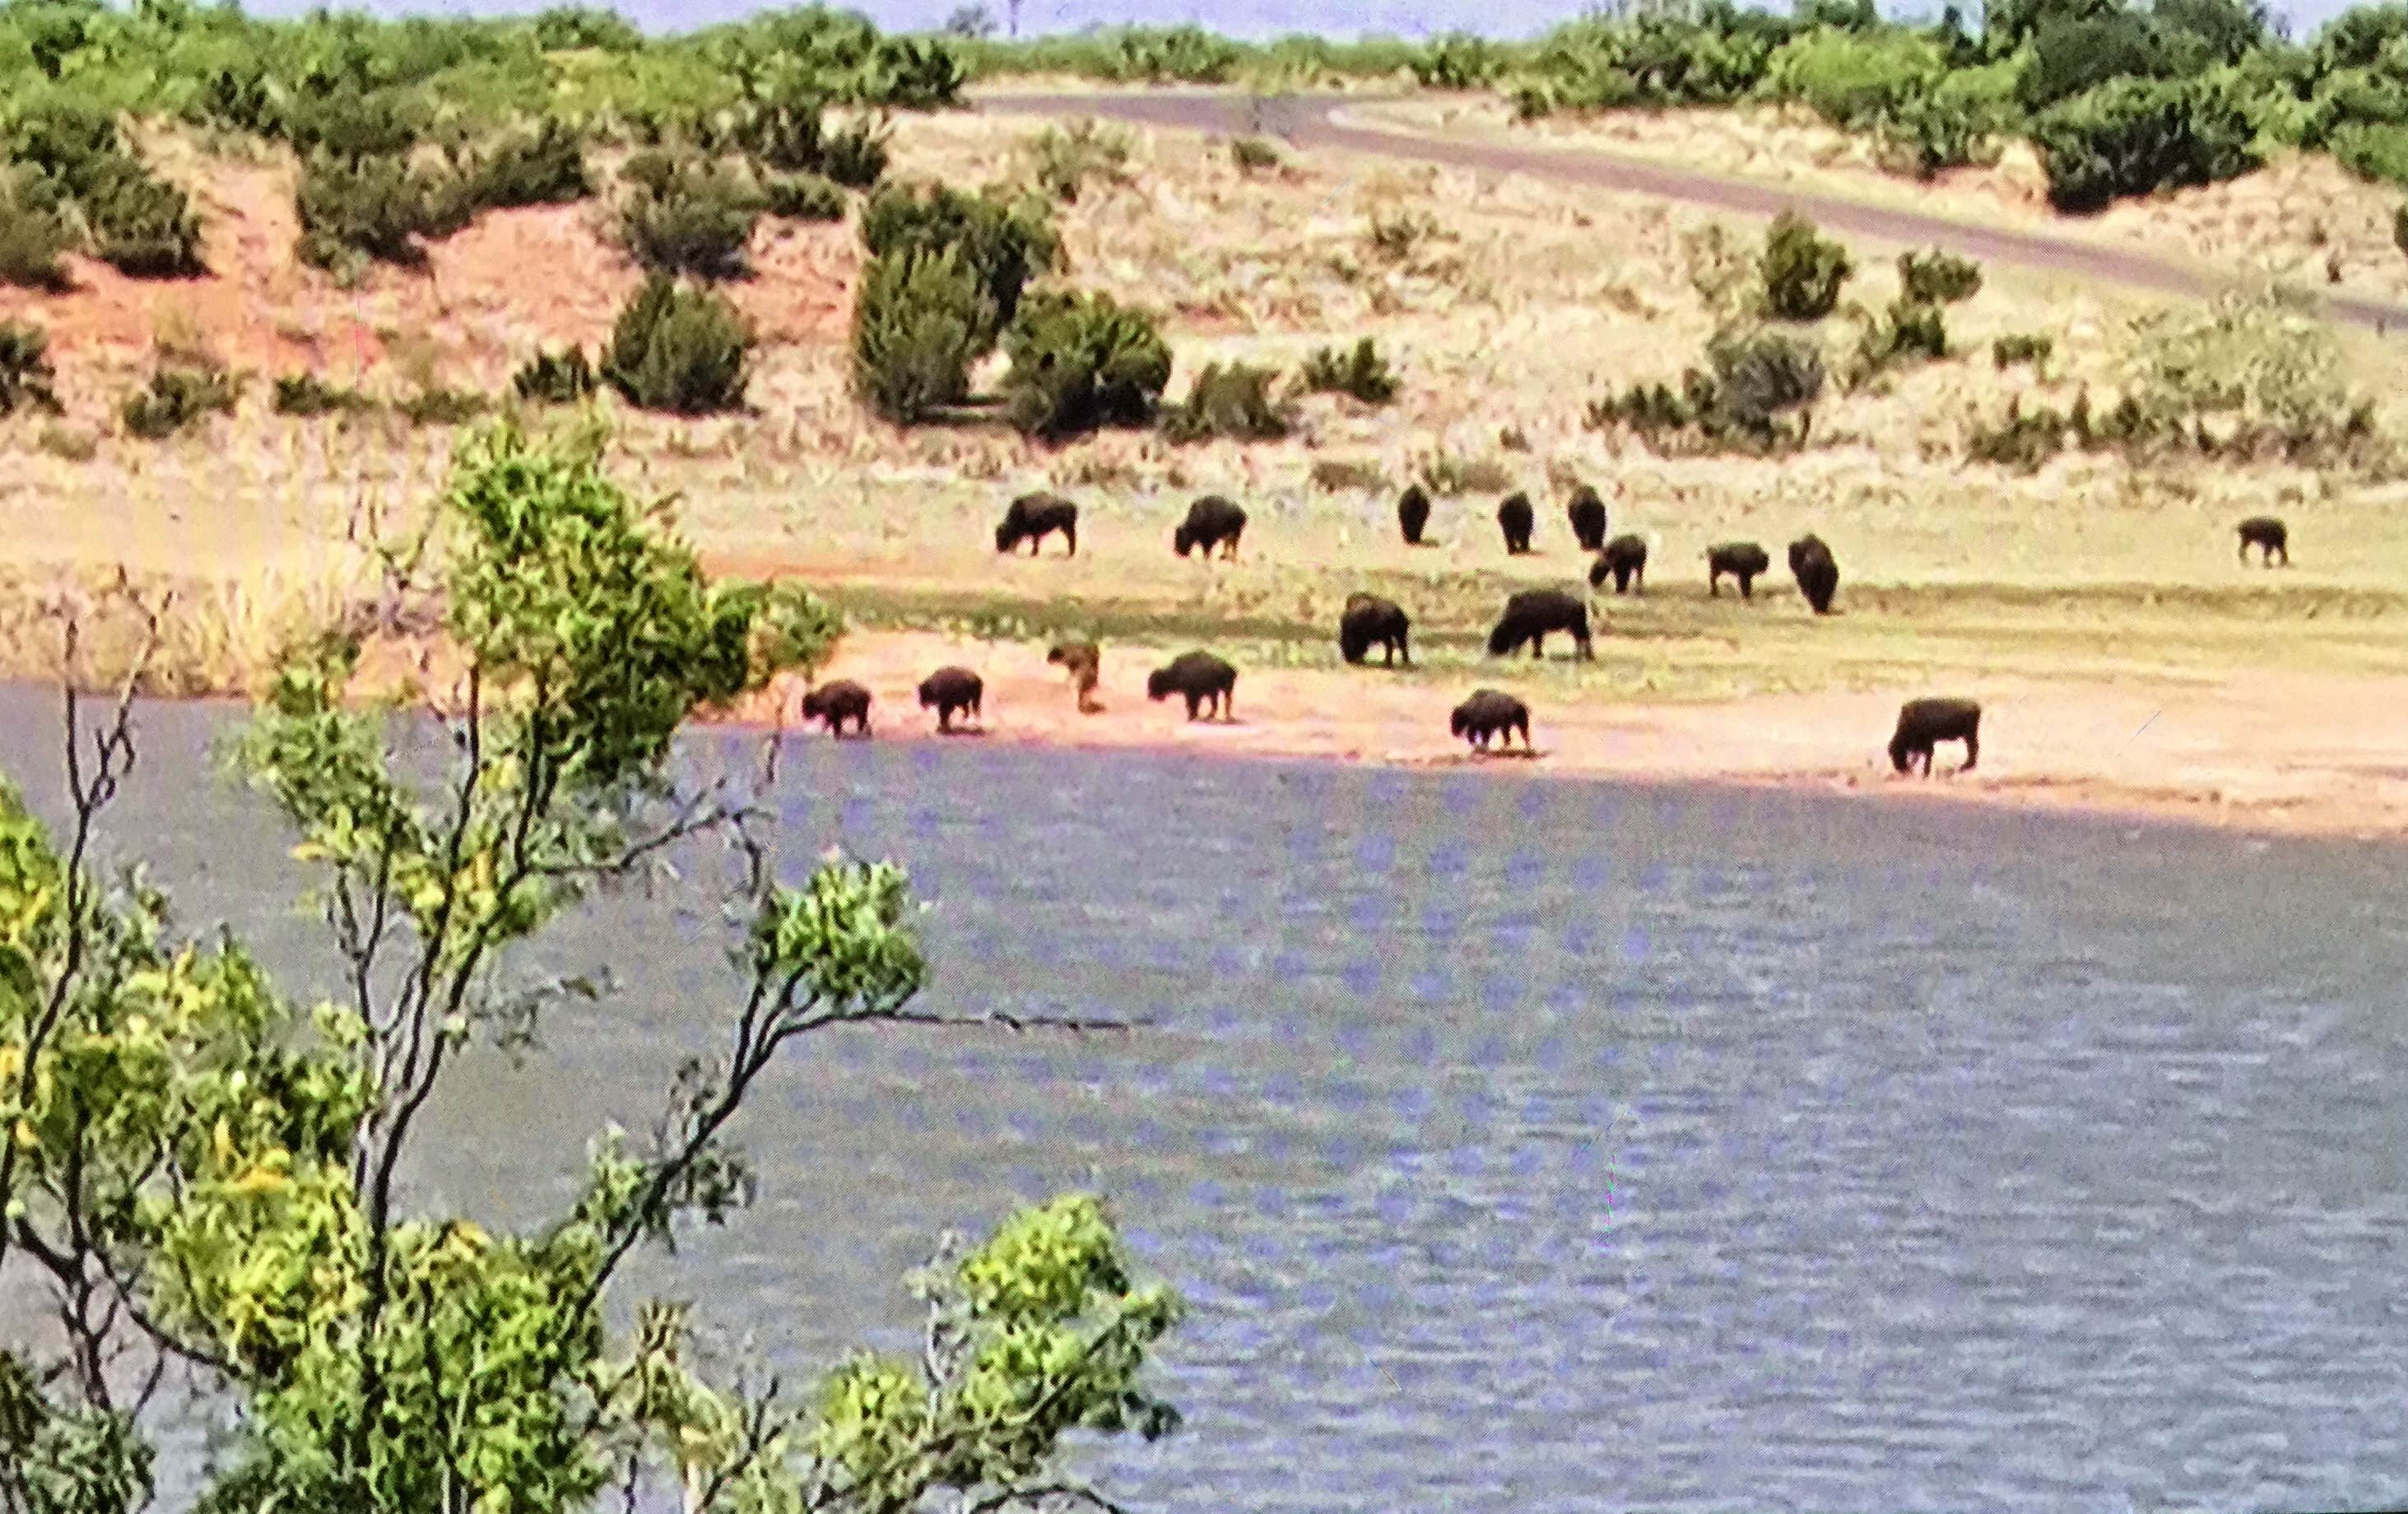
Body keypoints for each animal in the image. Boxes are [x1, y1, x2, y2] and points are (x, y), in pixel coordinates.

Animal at [1483, 587, 1598, 659]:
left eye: (1499, 633)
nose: (1491, 649)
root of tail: (1581, 604)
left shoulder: (1526, 631)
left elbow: (1521, 642)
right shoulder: (1537, 631)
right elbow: (1537, 643)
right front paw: (1537, 655)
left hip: (1576, 626)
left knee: (1584, 637)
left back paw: (1589, 657)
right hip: (1575, 627)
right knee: (1580, 639)